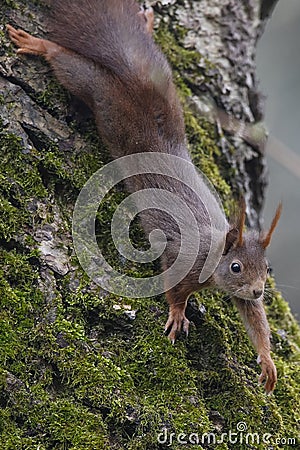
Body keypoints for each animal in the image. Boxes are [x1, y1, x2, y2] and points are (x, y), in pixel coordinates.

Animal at [6, 0, 282, 394]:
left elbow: (254, 318)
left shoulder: (239, 293)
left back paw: (146, 25)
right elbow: (174, 289)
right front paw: (178, 313)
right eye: (236, 267)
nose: (260, 291)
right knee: (72, 67)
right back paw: (39, 45)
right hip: (101, 93)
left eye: (267, 269)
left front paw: (267, 360)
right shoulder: (187, 259)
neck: (215, 248)